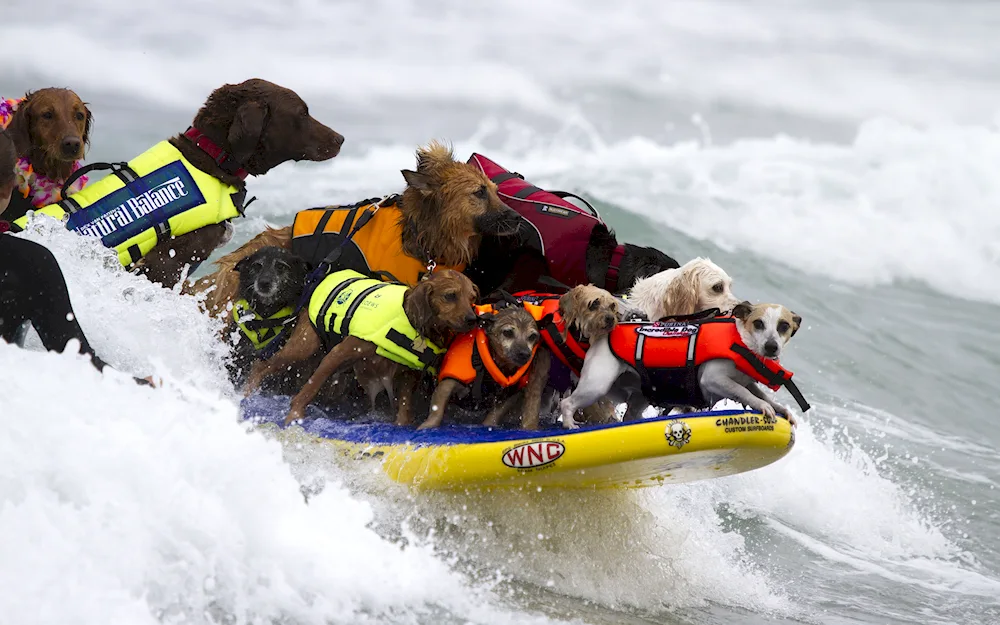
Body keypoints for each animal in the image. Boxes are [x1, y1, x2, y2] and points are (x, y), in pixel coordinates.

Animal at [241, 268, 476, 424]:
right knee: (261, 365)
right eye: (450, 295)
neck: (410, 320)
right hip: (304, 346)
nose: (473, 319)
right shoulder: (337, 354)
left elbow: (404, 408)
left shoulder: (408, 376)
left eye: (473, 298)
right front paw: (295, 416)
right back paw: (248, 394)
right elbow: (310, 388)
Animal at [560, 300, 808, 426]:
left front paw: (778, 407)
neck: (741, 341)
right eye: (758, 323)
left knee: (631, 415)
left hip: (640, 395)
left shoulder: (747, 379)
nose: (771, 347)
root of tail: (607, 331)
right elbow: (742, 391)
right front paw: (763, 406)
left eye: (784, 326)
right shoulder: (713, 379)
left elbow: (758, 391)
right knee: (567, 403)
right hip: (597, 384)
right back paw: (569, 423)